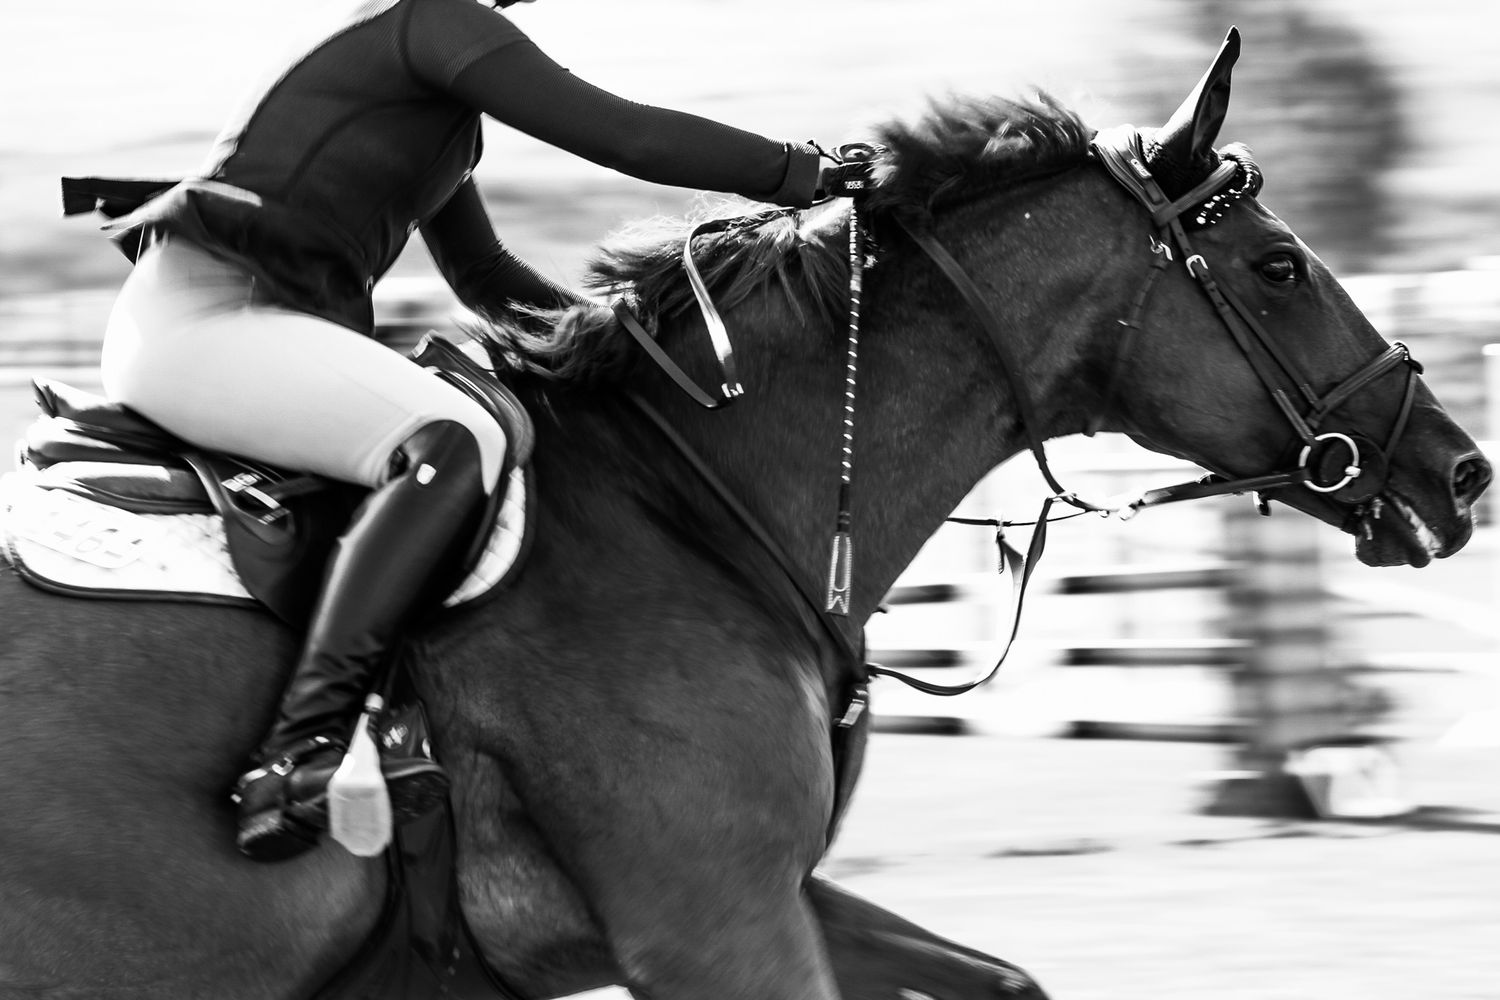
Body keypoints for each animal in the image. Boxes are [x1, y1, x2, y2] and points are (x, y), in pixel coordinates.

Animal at [0, 29, 1490, 1000]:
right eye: (1280, 266)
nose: (1461, 471)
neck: (693, 509)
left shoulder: (769, 898)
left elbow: (1005, 980)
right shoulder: (713, 925)